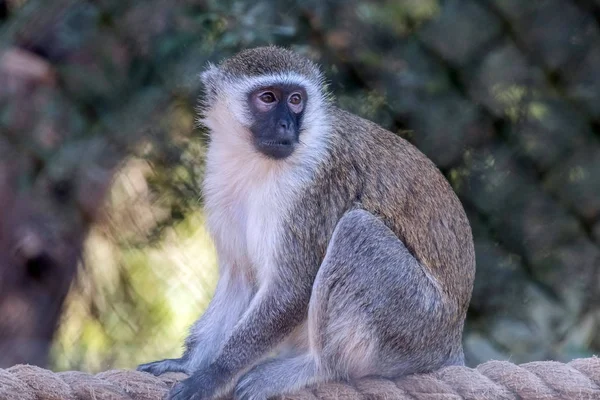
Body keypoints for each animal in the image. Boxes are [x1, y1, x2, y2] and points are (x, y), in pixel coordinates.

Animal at [138, 46, 476, 400]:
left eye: (296, 99)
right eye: (268, 97)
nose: (286, 125)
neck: (257, 163)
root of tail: (450, 343)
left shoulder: (315, 187)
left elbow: (292, 289)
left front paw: (213, 376)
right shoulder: (221, 181)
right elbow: (240, 278)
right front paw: (188, 364)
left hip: (416, 324)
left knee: (357, 231)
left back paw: (317, 367)